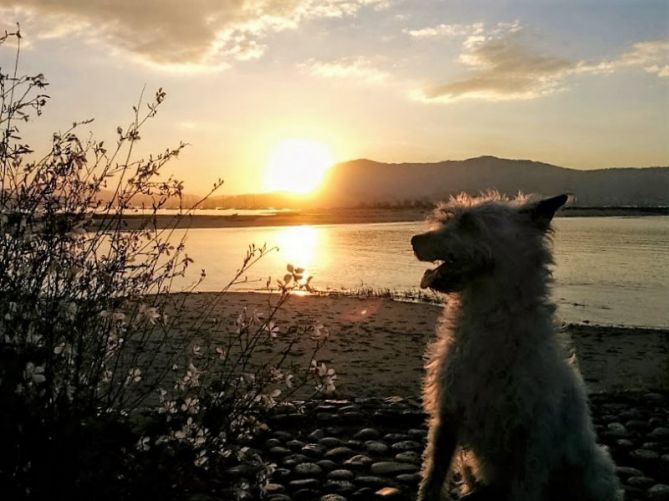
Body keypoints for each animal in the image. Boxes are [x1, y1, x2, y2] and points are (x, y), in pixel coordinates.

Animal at [410, 193, 624, 498]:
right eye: (446, 219)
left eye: (469, 223)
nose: (414, 239)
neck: (488, 316)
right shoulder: (449, 412)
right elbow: (434, 472)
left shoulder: (531, 433)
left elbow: (525, 485)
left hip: (592, 472)